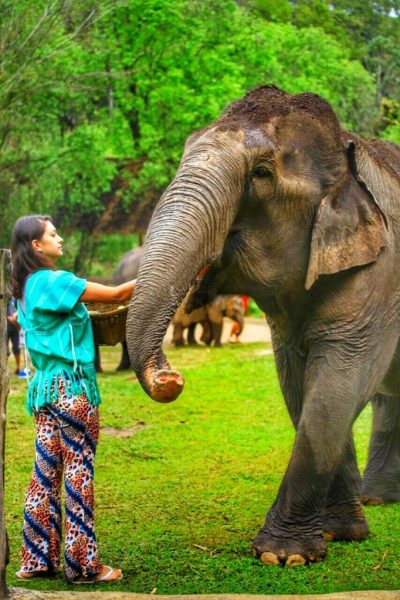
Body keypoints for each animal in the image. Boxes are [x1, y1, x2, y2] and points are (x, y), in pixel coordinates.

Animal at [126, 85, 400, 568]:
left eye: (261, 173)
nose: (171, 378)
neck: (347, 151)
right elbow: (299, 383)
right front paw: (340, 534)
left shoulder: (381, 272)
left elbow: (338, 382)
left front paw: (282, 555)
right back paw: (379, 499)